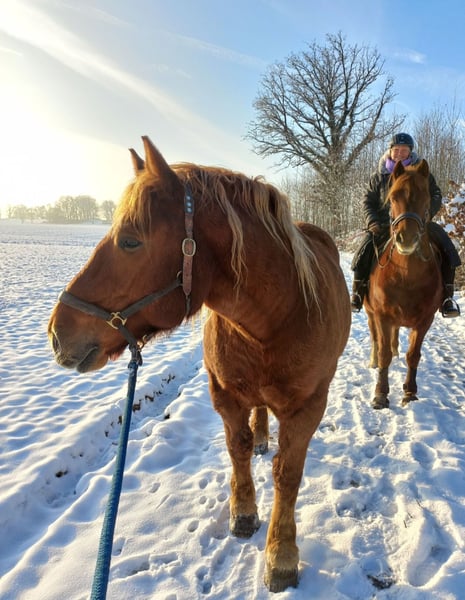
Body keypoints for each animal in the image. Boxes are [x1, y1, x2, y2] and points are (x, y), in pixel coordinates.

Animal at [48, 136, 351, 593]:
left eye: (131, 241)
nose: (57, 332)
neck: (276, 319)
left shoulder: (307, 408)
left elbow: (287, 474)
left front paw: (281, 554)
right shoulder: (224, 394)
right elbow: (237, 448)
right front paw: (243, 512)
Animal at [364, 159, 443, 409]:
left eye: (426, 196)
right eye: (393, 197)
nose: (406, 239)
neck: (405, 275)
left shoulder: (425, 320)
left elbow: (413, 355)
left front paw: (409, 393)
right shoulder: (382, 316)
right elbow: (384, 354)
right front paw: (380, 394)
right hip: (371, 314)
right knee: (376, 340)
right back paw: (373, 360)